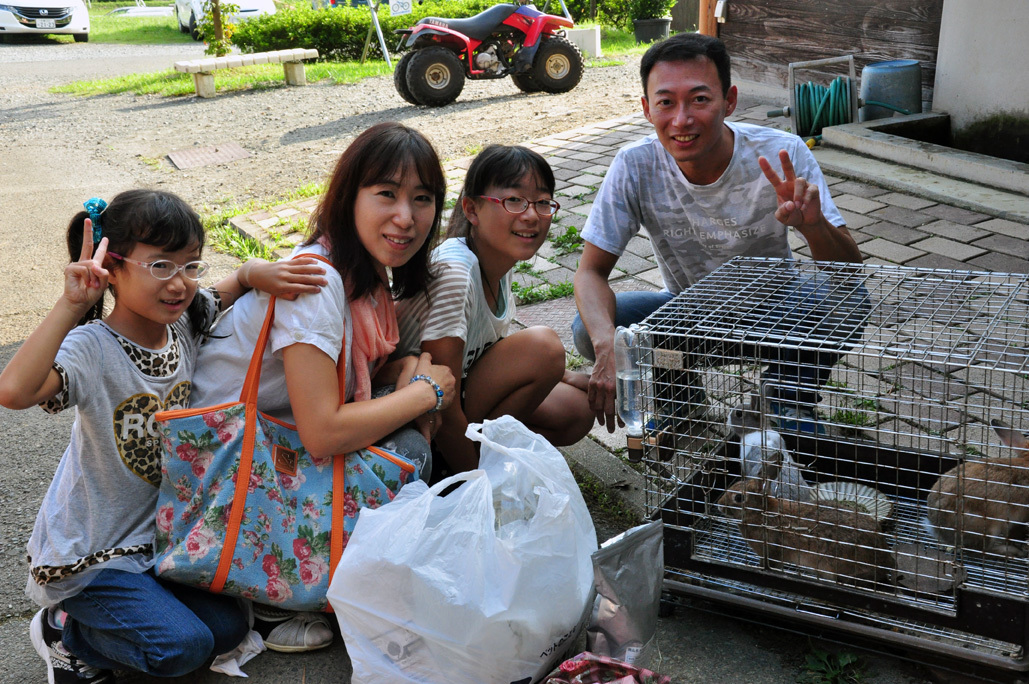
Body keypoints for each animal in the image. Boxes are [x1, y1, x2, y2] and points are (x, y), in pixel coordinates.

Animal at [716, 464, 893, 588]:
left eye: (739, 498)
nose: (719, 505)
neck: (761, 512)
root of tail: (883, 562)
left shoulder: (771, 550)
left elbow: (770, 564)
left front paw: (759, 569)